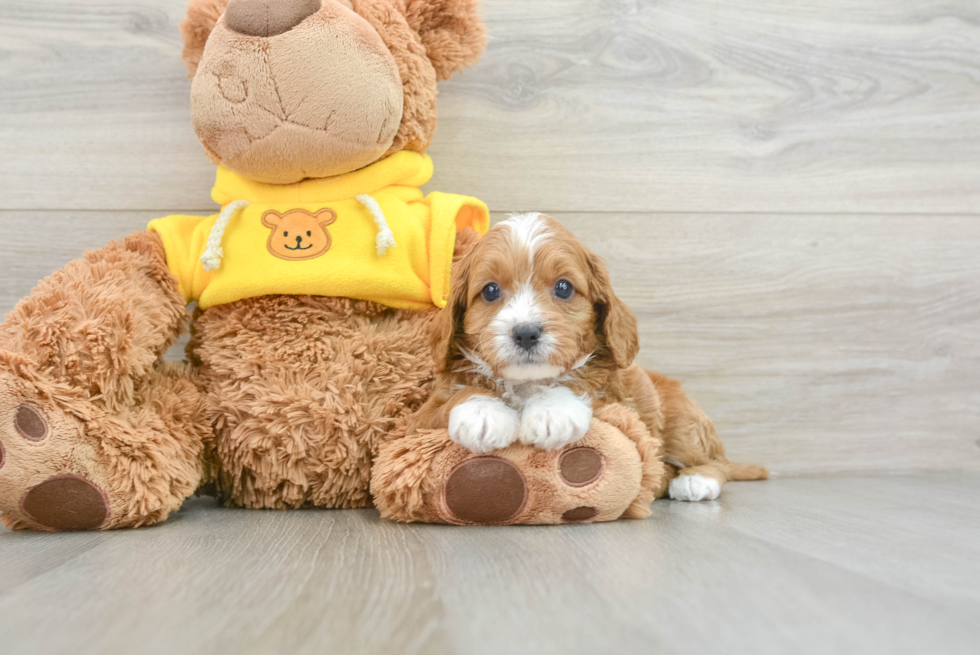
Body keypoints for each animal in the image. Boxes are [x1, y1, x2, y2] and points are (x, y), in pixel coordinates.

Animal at [410, 213, 768, 500]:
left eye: (564, 288)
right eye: (490, 291)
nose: (525, 332)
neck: (527, 383)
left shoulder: (619, 403)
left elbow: (581, 385)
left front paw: (551, 412)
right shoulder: (419, 420)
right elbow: (457, 396)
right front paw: (483, 413)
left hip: (683, 420)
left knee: (716, 461)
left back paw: (696, 480)